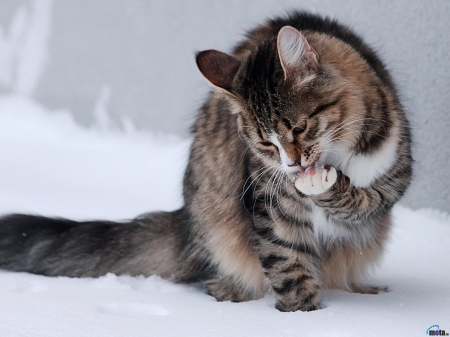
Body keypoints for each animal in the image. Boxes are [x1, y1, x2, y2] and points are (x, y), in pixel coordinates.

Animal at [0, 11, 412, 312]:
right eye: (266, 143)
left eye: (299, 128)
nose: (293, 166)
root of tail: (185, 223)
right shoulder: (269, 205)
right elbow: (288, 267)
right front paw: (304, 316)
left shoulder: (395, 175)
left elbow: (361, 199)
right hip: (217, 224)